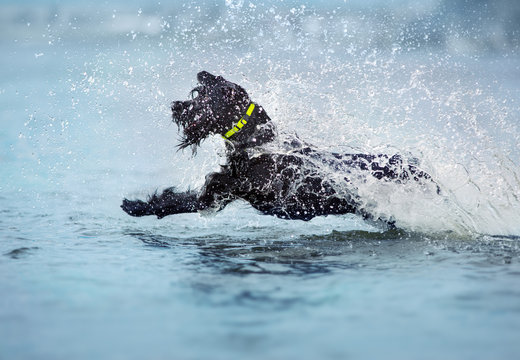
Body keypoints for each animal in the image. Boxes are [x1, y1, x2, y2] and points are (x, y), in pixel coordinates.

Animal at [121, 71, 434, 225]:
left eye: (203, 98)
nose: (176, 106)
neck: (256, 142)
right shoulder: (219, 189)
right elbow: (174, 200)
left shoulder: (217, 194)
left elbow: (175, 202)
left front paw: (136, 206)